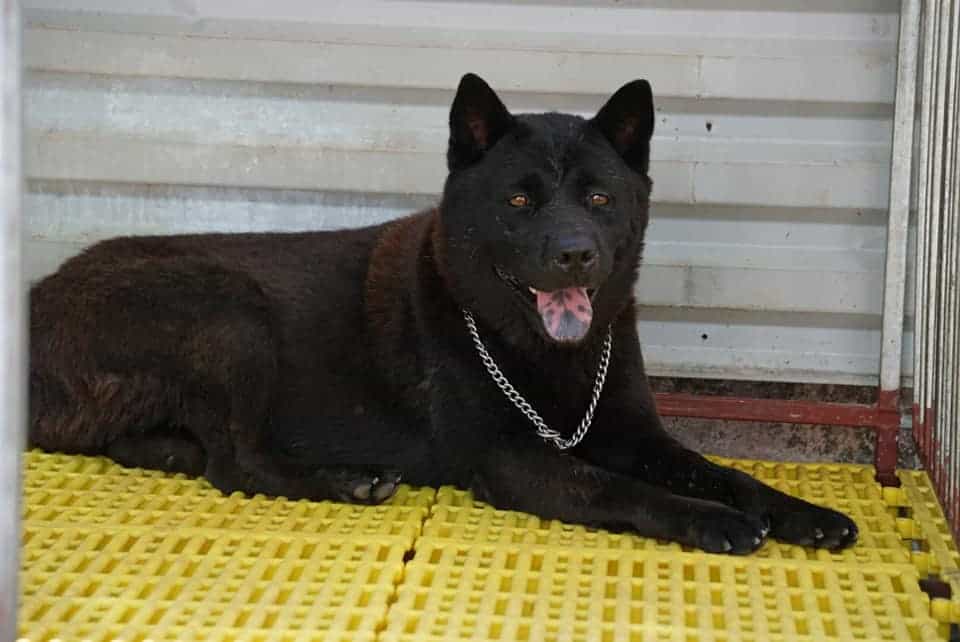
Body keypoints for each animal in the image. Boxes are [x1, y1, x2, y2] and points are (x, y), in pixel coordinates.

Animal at [28, 74, 857, 554]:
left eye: (599, 197)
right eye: (519, 200)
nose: (575, 255)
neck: (537, 352)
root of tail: (37, 300)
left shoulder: (634, 433)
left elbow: (723, 472)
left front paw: (799, 512)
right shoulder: (509, 460)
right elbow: (616, 489)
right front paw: (711, 521)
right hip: (228, 311)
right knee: (238, 465)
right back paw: (348, 480)